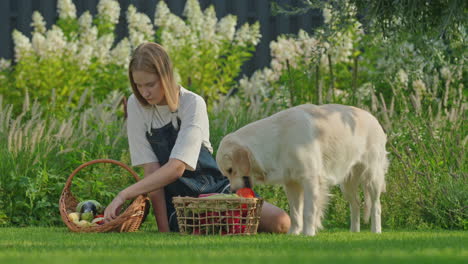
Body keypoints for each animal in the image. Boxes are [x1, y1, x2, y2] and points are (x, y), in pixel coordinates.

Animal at [218, 104, 390, 236]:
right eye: (225, 173)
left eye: (231, 170)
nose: (233, 191)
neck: (277, 140)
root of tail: (374, 119)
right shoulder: (291, 184)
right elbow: (295, 213)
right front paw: (294, 234)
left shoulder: (310, 181)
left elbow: (308, 211)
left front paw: (308, 233)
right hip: (347, 183)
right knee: (355, 204)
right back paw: (354, 231)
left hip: (372, 177)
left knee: (376, 206)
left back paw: (376, 231)